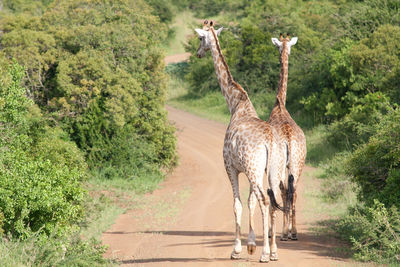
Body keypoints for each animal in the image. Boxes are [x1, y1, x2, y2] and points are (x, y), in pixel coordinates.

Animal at [195, 21, 286, 264]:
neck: (236, 105)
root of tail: (270, 140)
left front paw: (238, 249)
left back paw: (265, 254)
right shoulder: (252, 170)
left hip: (254, 169)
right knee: (273, 200)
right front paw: (251, 245)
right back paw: (274, 252)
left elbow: (237, 203)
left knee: (266, 200)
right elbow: (250, 200)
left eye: (200, 38)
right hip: (273, 169)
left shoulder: (231, 167)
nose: (198, 53)